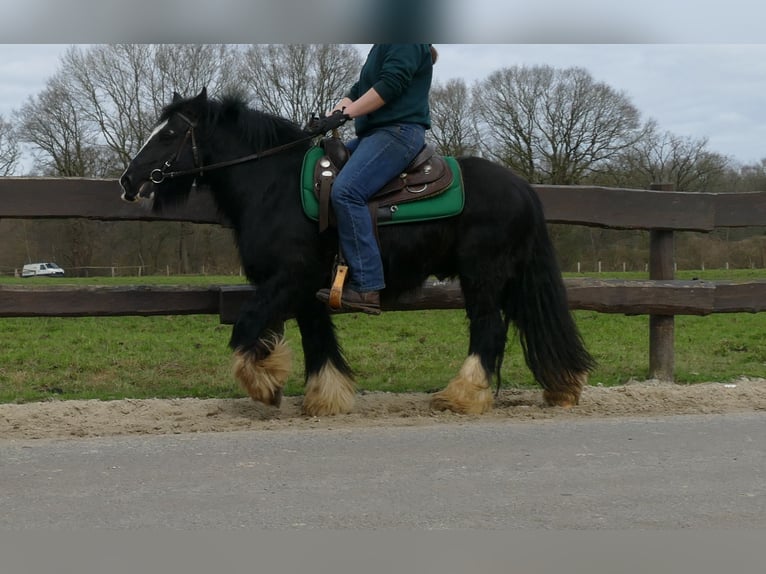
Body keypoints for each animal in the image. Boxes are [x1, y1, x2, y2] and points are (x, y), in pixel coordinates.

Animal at [121, 88, 600, 416]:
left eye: (170, 134)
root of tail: (522, 188)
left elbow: (245, 329)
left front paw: (265, 384)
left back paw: (461, 396)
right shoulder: (306, 289)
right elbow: (317, 339)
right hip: (511, 277)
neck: (273, 186)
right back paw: (559, 385)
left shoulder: (287, 279)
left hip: (482, 276)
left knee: (489, 330)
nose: (128, 181)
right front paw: (324, 397)